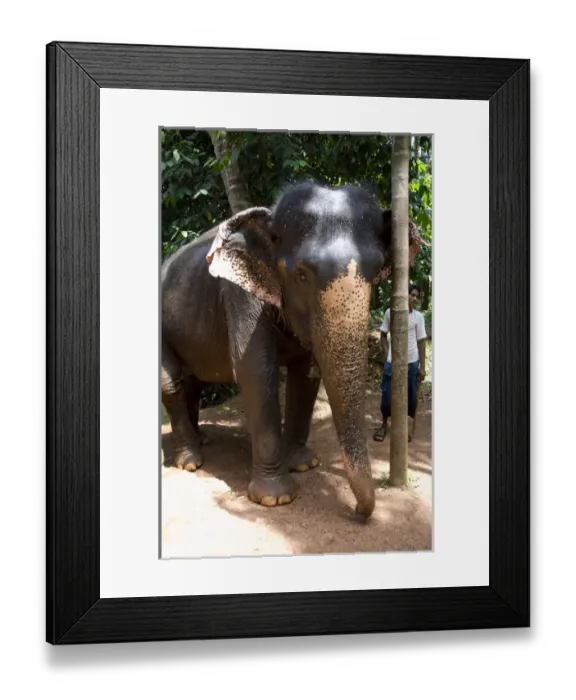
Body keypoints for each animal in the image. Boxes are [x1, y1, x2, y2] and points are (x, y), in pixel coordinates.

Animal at [161, 181, 422, 519]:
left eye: (376, 270)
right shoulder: (239, 294)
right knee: (172, 384)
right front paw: (275, 497)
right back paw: (191, 461)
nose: (356, 511)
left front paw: (304, 464)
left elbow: (305, 375)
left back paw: (202, 440)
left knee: (194, 383)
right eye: (301, 274)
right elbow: (255, 372)